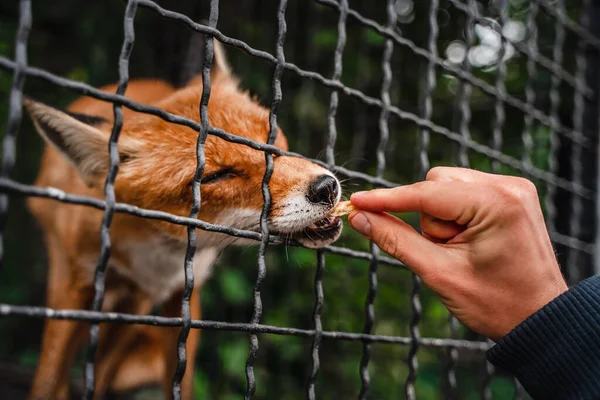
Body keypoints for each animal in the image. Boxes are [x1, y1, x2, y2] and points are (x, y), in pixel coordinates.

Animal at [24, 37, 342, 400]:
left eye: (270, 137)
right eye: (217, 175)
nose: (326, 188)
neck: (157, 252)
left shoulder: (183, 296)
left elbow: (180, 379)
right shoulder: (72, 284)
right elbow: (48, 378)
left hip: (134, 309)